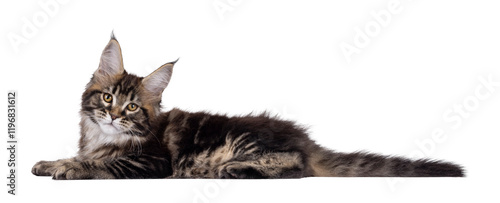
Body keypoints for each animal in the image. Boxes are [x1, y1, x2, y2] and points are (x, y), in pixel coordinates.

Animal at [32, 34, 464, 180]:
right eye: (107, 97)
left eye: (134, 108)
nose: (114, 115)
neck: (102, 138)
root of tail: (306, 139)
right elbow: (78, 156)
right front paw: (52, 162)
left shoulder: (151, 162)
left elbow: (104, 165)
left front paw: (71, 169)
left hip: (244, 139)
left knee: (297, 166)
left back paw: (235, 170)